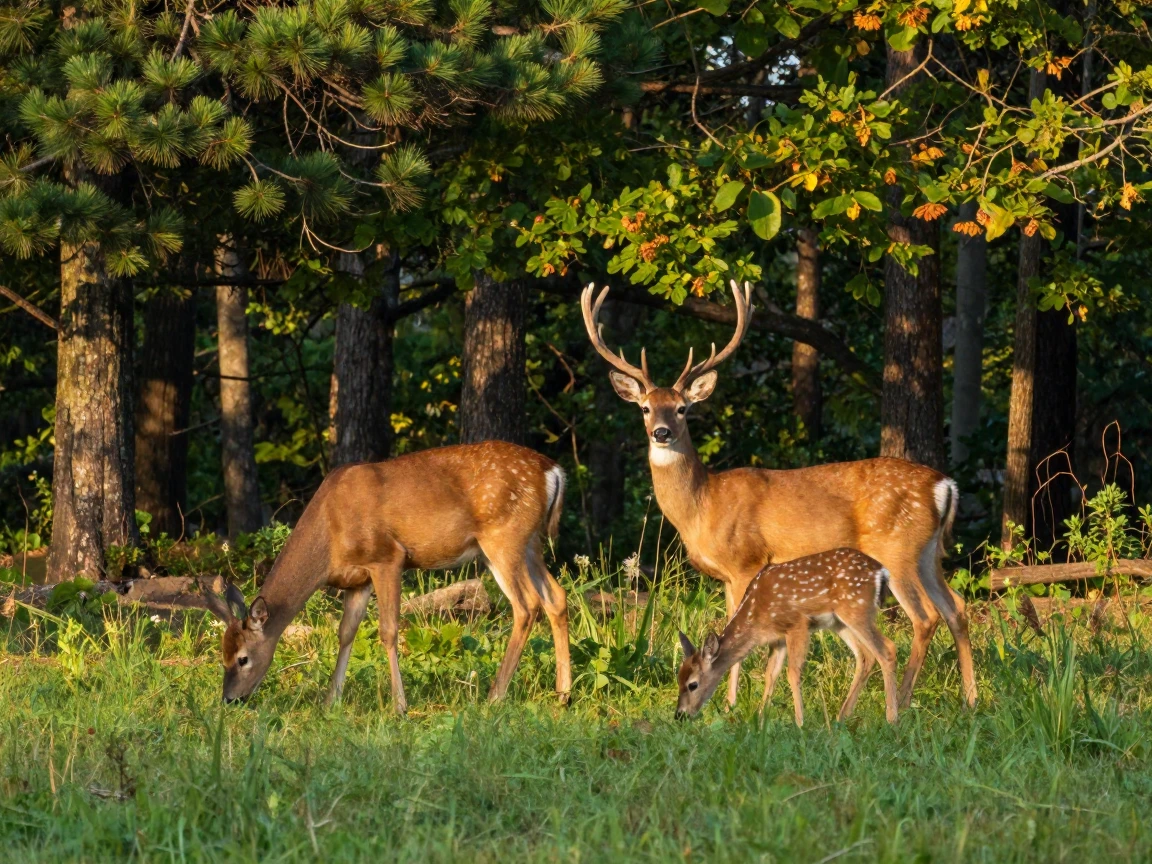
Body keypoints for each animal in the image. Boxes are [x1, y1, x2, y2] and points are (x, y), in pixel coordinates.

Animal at [192, 440, 569, 712]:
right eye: (221, 655)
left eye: (243, 658)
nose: (230, 699)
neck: (329, 537)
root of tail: (553, 470)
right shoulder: (357, 579)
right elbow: (345, 632)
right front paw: (330, 700)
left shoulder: (387, 557)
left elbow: (388, 631)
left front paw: (399, 706)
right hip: (529, 543)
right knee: (556, 597)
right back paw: (562, 694)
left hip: (504, 537)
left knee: (527, 605)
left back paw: (496, 696)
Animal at [675, 548, 899, 726]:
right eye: (678, 678)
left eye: (693, 684)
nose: (679, 715)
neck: (757, 615)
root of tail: (882, 571)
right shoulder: (778, 639)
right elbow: (770, 675)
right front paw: (759, 720)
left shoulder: (797, 624)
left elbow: (792, 673)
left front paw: (799, 723)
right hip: (839, 622)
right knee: (865, 655)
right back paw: (841, 718)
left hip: (856, 609)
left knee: (887, 649)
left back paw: (891, 720)